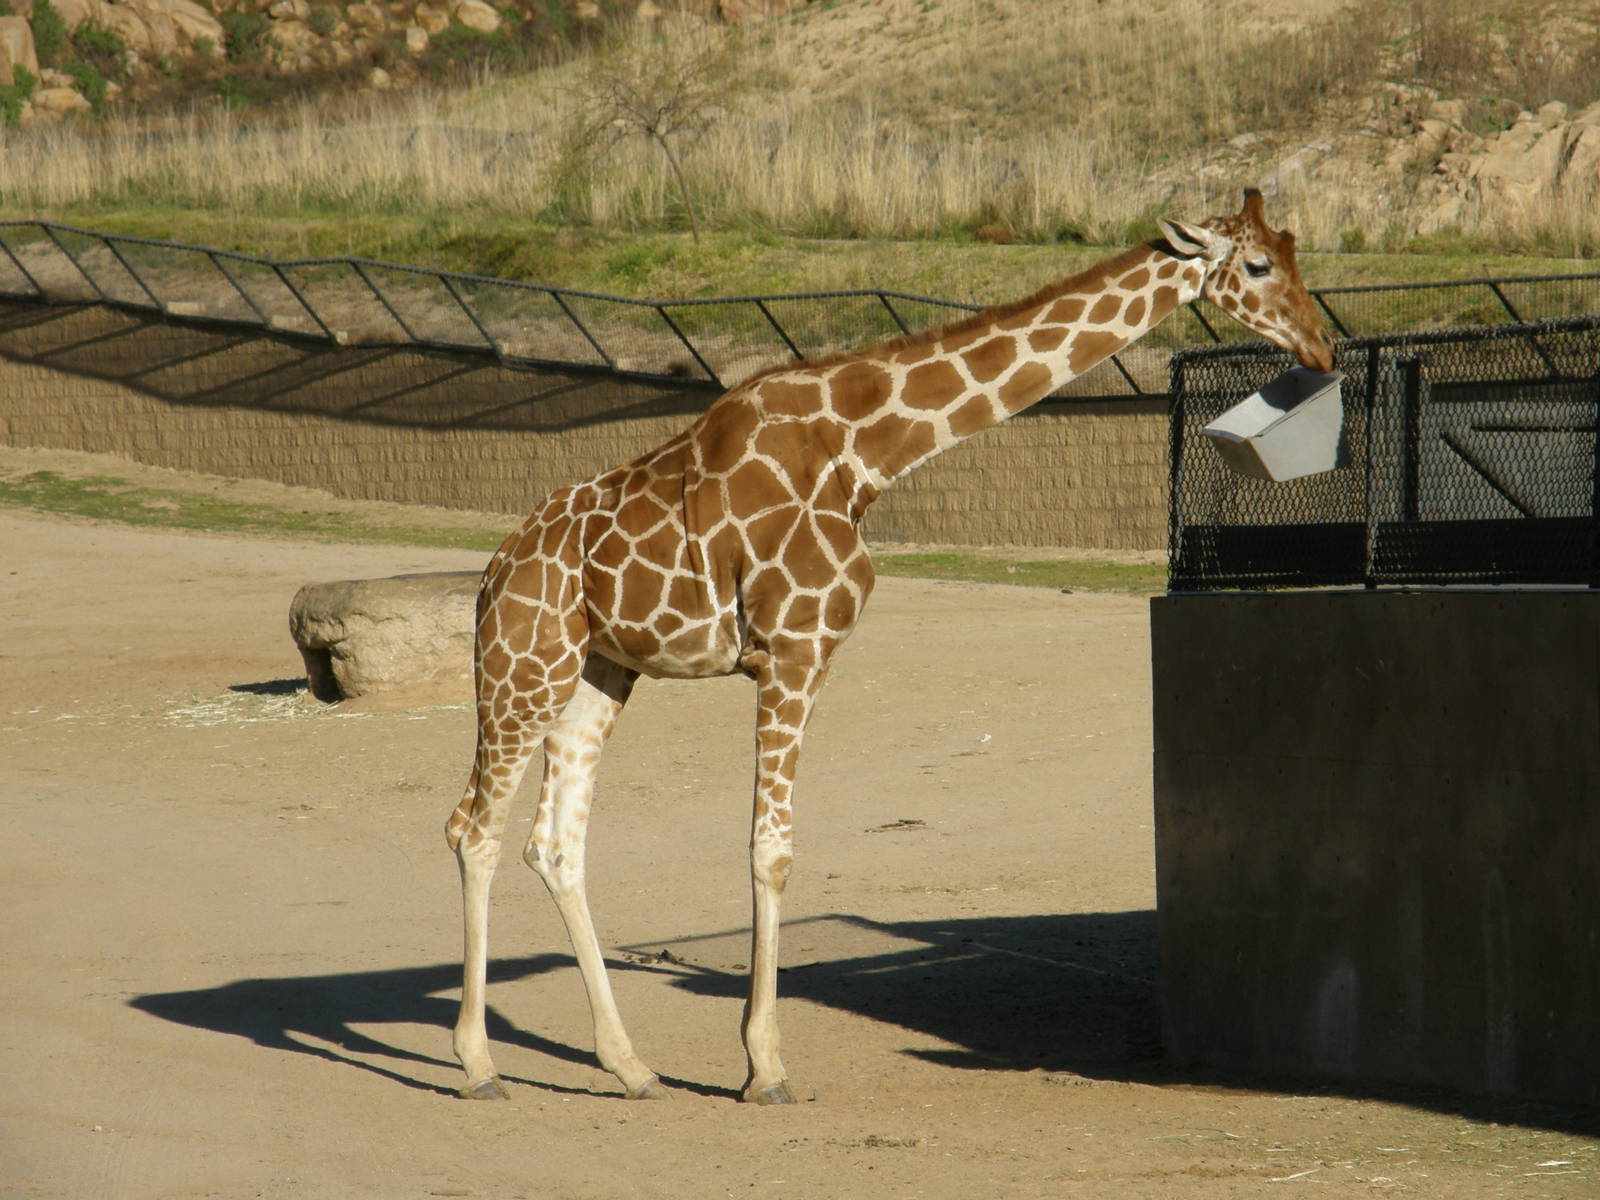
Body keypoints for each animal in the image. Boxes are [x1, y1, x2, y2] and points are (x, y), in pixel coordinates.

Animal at [444, 188, 1334, 1104]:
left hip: (597, 673)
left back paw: (627, 1066)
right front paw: (764, 1067)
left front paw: (750, 1059)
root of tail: (492, 574)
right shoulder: (793, 648)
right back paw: (477, 1065)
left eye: (1295, 254)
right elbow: (772, 851)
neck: (866, 451)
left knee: (554, 844)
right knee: (471, 827)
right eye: (1258, 265)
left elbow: (762, 847)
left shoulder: (780, 654)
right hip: (521, 668)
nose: (1323, 345)